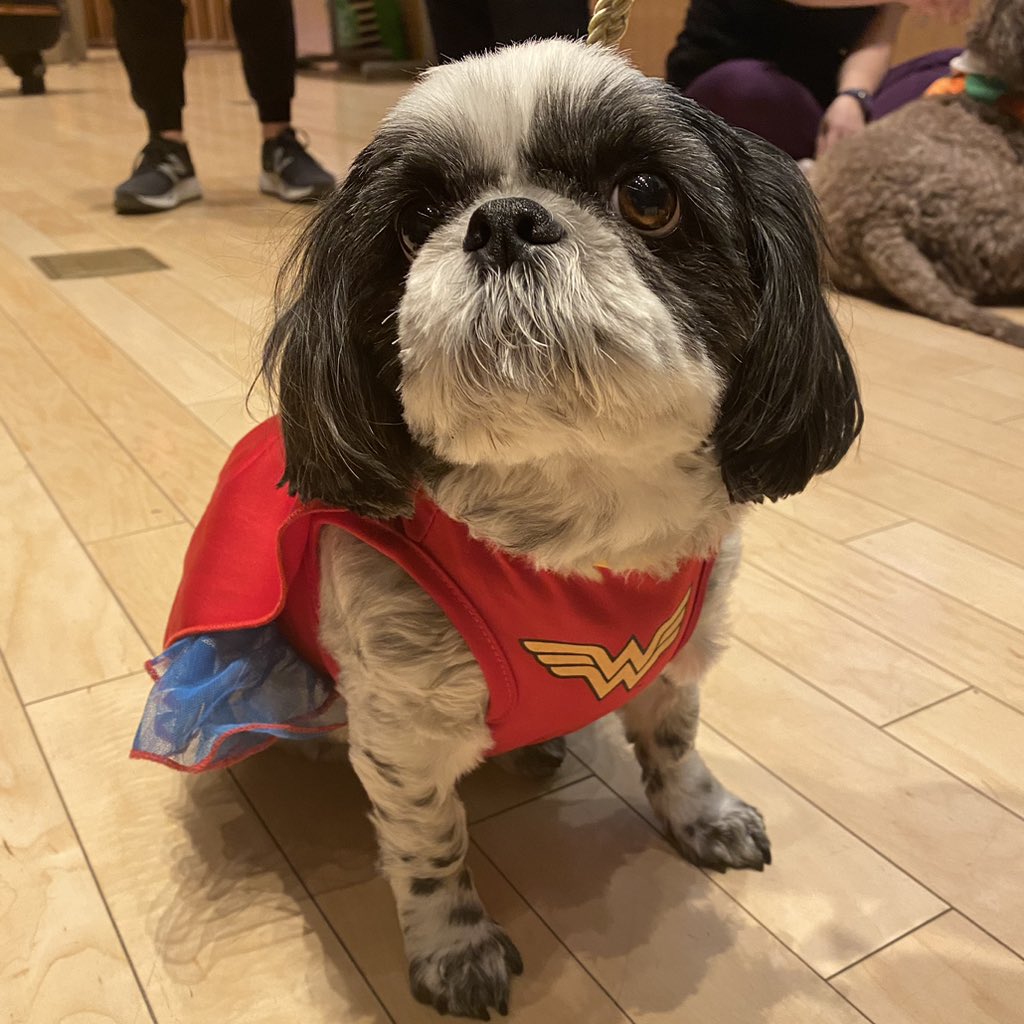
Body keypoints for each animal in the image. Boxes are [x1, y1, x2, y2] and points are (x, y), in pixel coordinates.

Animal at [132, 37, 860, 1024]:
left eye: (648, 195)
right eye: (417, 220)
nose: (505, 221)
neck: (576, 525)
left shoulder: (677, 654)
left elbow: (675, 742)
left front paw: (699, 815)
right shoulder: (401, 733)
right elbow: (431, 844)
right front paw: (454, 947)